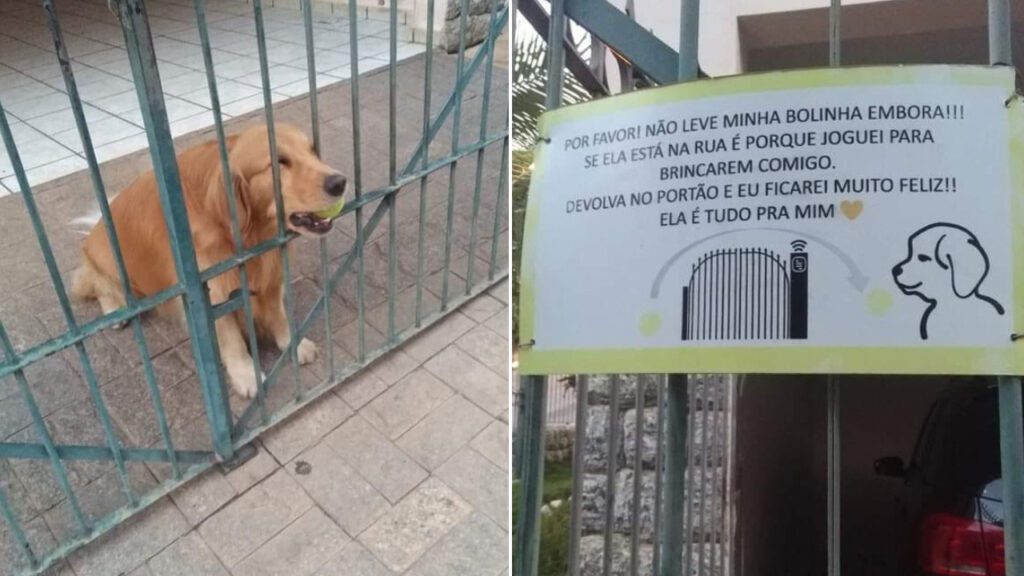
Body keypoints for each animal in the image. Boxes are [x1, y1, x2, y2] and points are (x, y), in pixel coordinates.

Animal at [71, 123, 348, 397]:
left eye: (313, 151)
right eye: (279, 162)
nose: (340, 182)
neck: (247, 235)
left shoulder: (272, 274)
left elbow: (279, 315)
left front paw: (294, 344)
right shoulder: (213, 291)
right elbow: (233, 341)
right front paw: (247, 376)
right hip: (108, 263)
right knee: (98, 284)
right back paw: (115, 309)